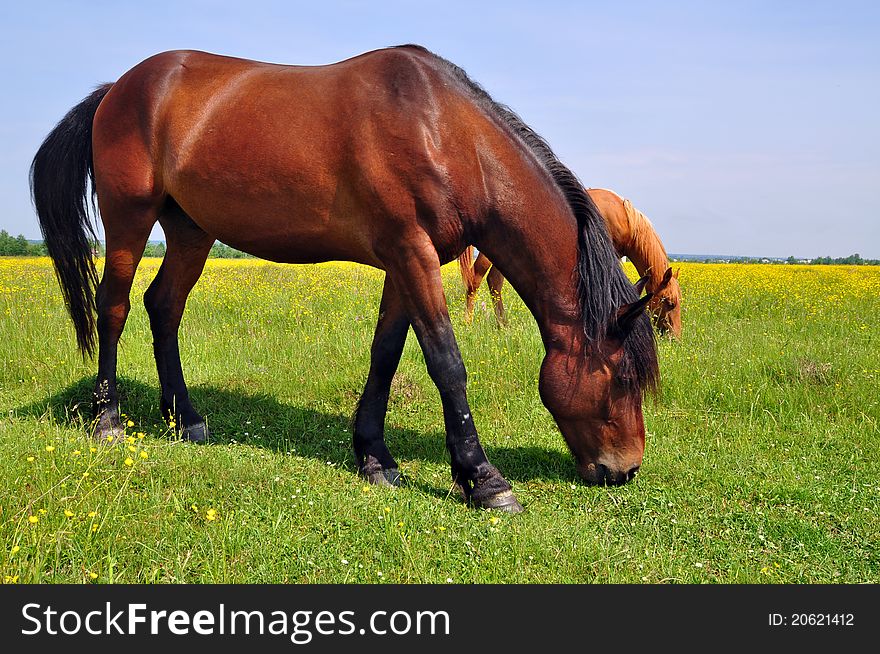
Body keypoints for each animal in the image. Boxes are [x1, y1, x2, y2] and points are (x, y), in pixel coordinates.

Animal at [464, 186, 684, 336]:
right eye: (670, 302)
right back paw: (468, 323)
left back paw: (503, 325)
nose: (675, 339)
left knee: (494, 282)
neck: (625, 217)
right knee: (475, 279)